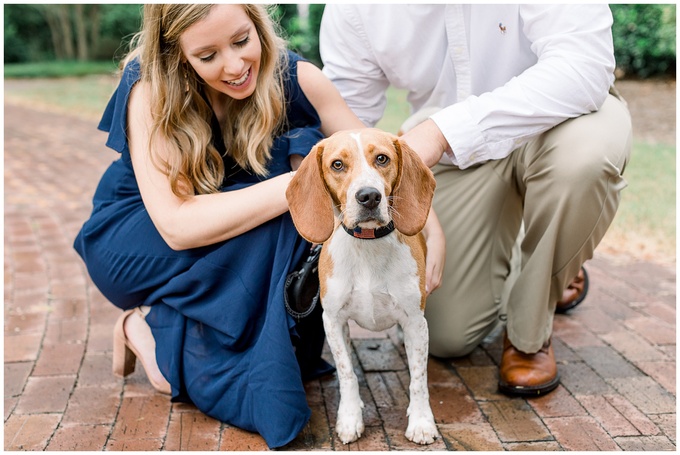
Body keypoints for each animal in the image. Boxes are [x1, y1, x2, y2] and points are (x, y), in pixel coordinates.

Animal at [286, 128, 438, 446]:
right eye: (337, 165)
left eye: (382, 158)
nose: (369, 196)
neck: (369, 246)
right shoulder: (333, 321)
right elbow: (347, 374)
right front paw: (350, 417)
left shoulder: (416, 323)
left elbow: (418, 378)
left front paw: (421, 421)